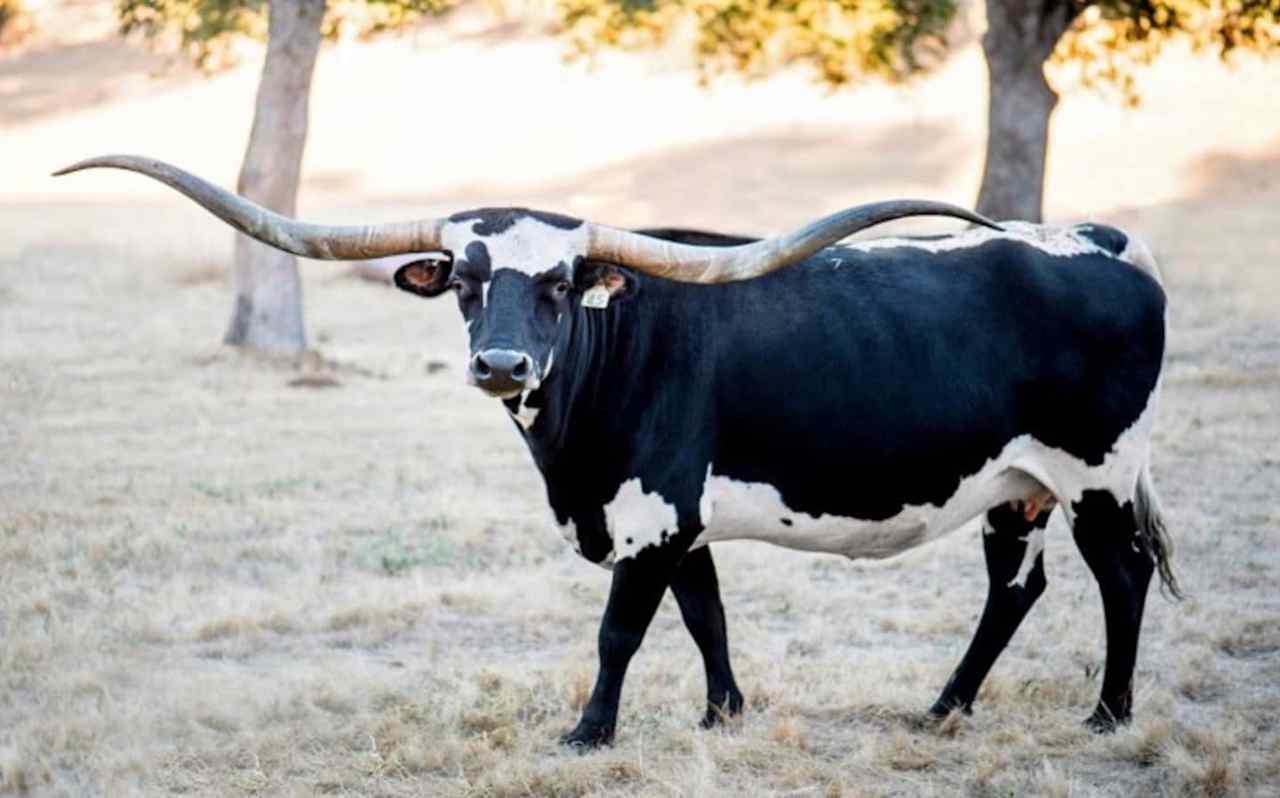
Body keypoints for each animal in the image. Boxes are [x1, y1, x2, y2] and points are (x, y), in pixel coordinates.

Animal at [57, 157, 1177, 748]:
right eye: (464, 280)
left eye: (558, 285)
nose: (501, 362)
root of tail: (1097, 237)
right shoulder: (675, 523)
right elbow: (705, 615)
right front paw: (724, 715)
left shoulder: (649, 517)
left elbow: (620, 632)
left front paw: (588, 732)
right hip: (1017, 486)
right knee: (1013, 589)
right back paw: (943, 707)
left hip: (1094, 473)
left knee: (1119, 577)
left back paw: (1107, 714)